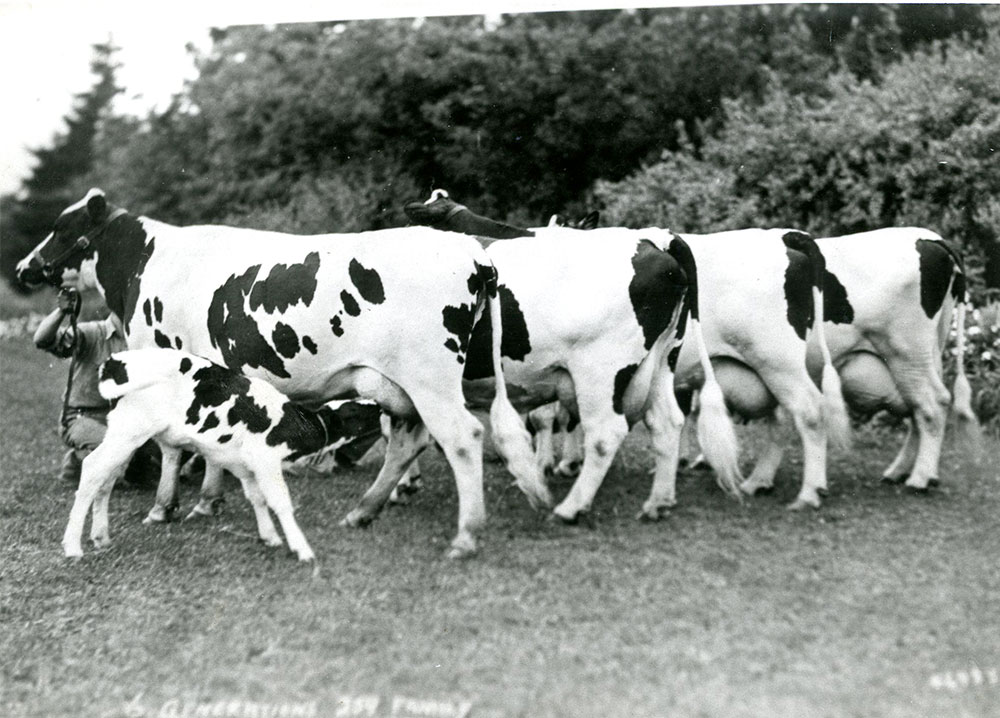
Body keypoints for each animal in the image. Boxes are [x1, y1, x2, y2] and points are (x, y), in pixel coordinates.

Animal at [64, 348, 366, 564]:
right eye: (356, 412)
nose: (376, 403)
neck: (287, 420)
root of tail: (116, 360)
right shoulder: (265, 460)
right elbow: (280, 502)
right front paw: (302, 549)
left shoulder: (246, 466)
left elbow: (257, 498)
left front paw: (269, 536)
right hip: (130, 431)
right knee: (93, 468)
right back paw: (72, 546)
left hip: (123, 435)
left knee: (106, 479)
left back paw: (100, 536)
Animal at [740, 228, 980, 492]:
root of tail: (933, 238)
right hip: (928, 351)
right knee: (919, 407)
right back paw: (901, 472)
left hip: (908, 351)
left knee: (933, 402)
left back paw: (920, 479)